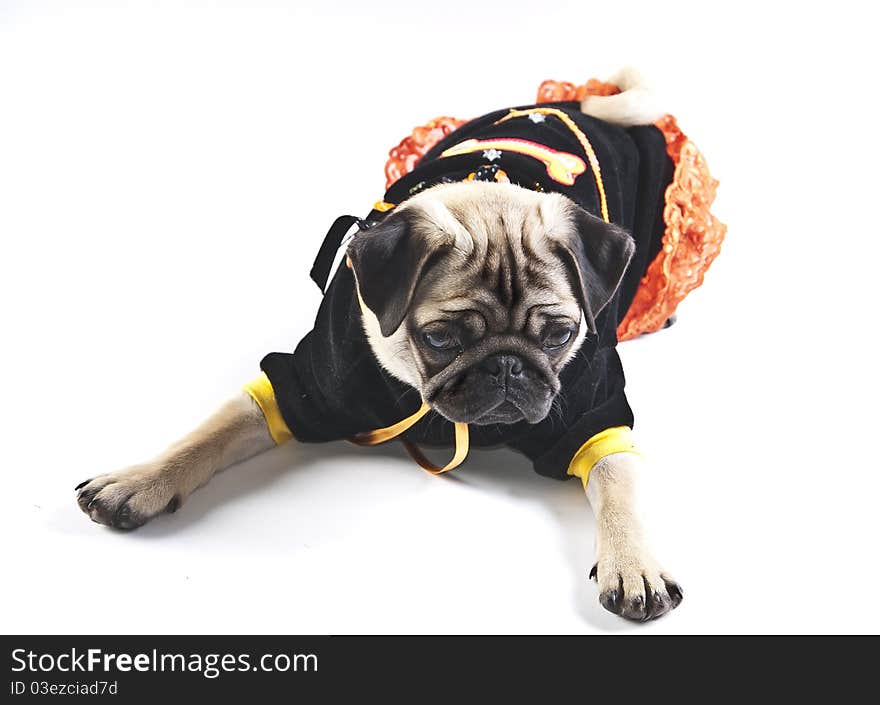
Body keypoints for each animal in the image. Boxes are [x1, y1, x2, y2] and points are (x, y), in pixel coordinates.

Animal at [75, 73, 696, 620]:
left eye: (560, 336)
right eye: (439, 339)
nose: (507, 368)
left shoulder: (596, 416)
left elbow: (619, 488)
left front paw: (635, 564)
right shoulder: (304, 384)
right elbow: (209, 434)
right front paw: (139, 481)